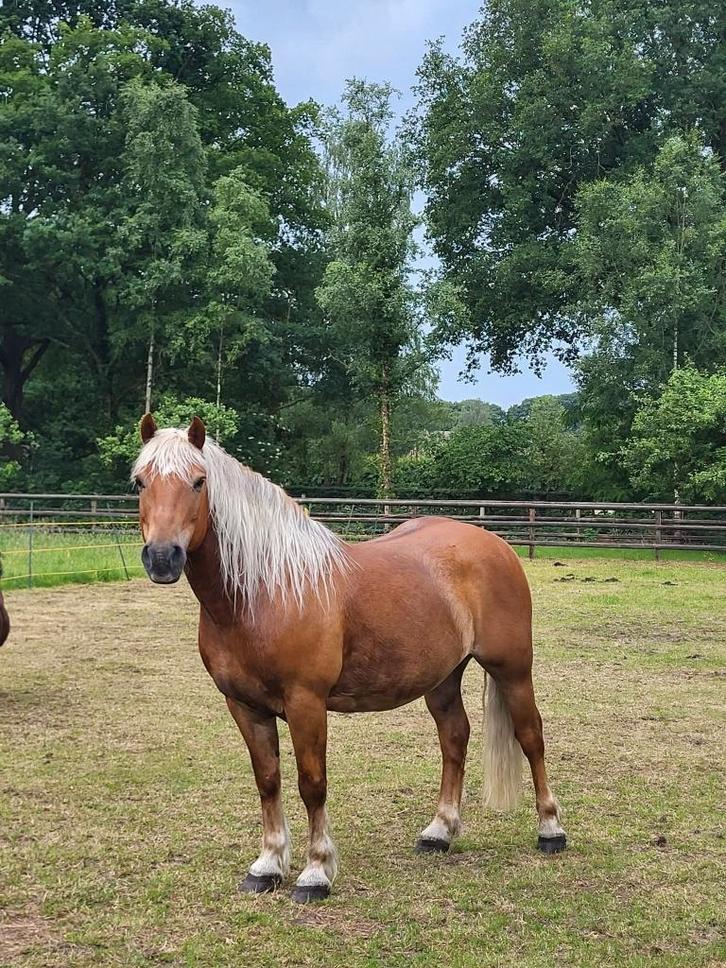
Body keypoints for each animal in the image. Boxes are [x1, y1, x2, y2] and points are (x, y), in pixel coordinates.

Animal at [133, 415, 566, 903]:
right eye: (139, 481)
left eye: (198, 481)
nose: (162, 557)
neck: (264, 593)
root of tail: (494, 543)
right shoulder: (243, 705)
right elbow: (268, 780)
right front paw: (267, 866)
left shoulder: (306, 703)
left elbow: (312, 783)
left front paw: (315, 872)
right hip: (442, 678)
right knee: (455, 738)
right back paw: (439, 832)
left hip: (513, 670)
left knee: (531, 737)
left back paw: (551, 831)